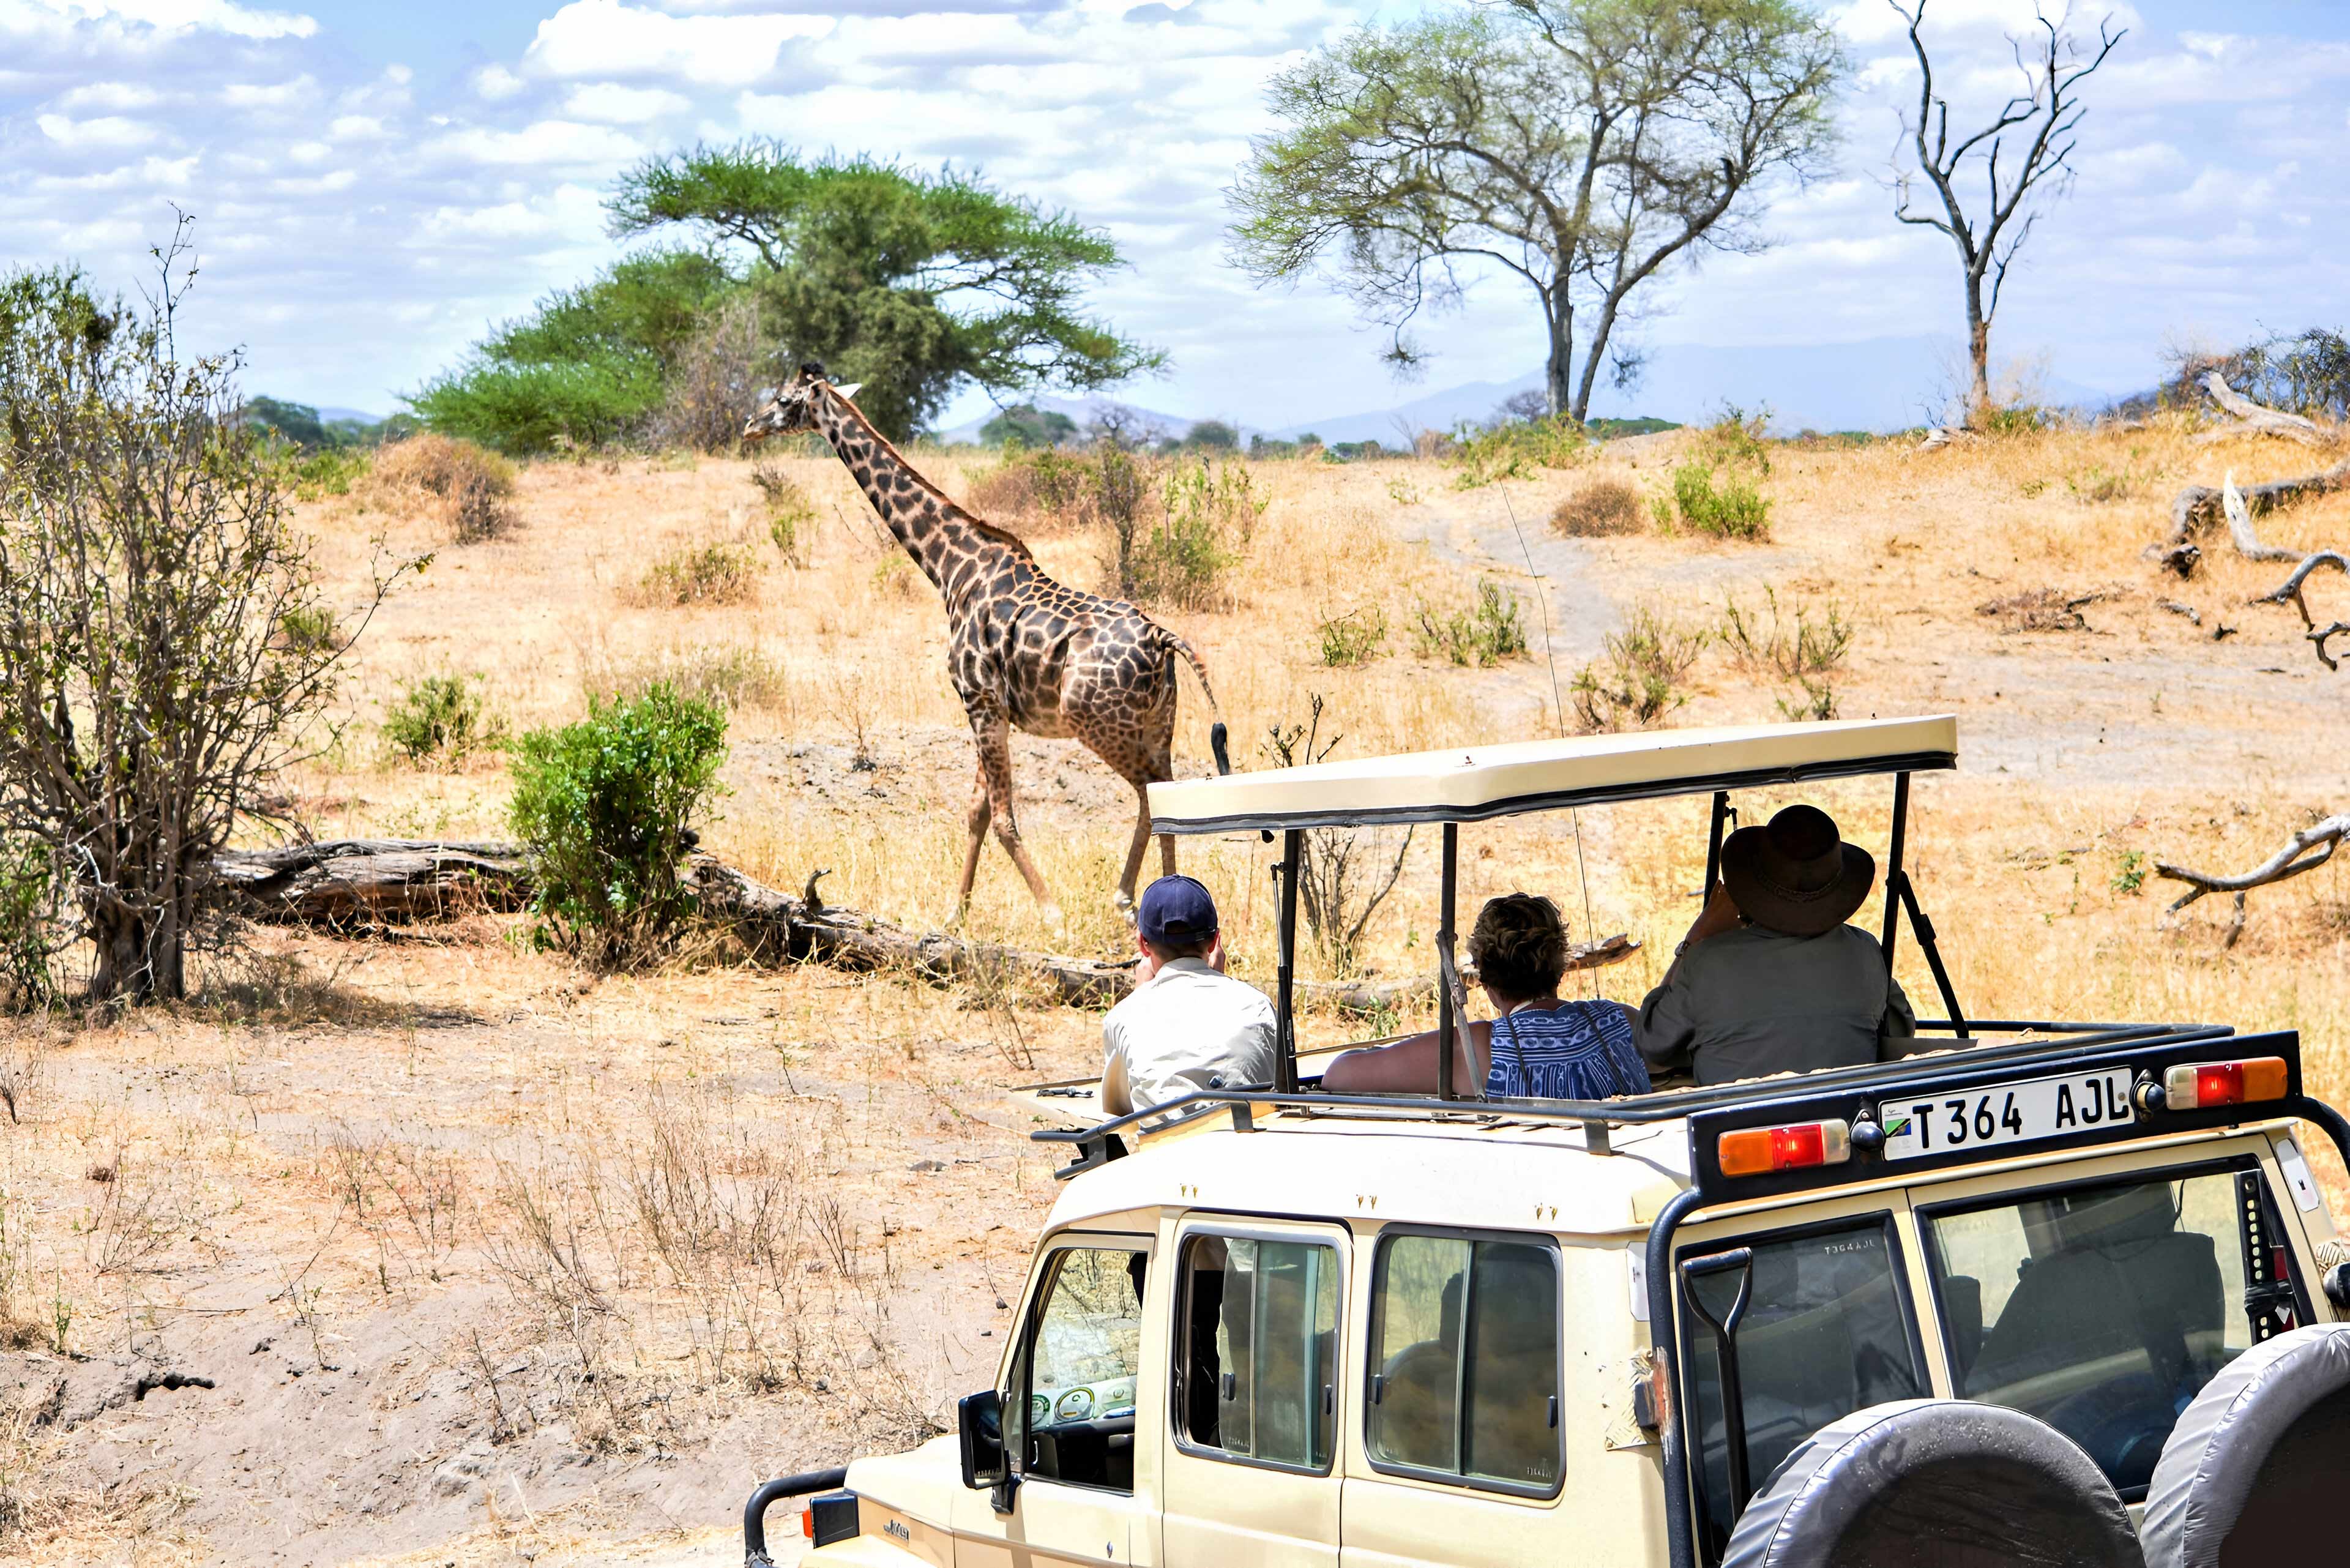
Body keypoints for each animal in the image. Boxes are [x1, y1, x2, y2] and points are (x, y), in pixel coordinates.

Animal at [743, 364, 1220, 921]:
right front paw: (958, 912)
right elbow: (976, 812)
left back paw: (1130, 897)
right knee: (1165, 797)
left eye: (783, 400)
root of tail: (1161, 638)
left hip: (1100, 725)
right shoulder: (987, 706)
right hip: (1158, 724)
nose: (751, 426)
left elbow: (1001, 817)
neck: (951, 569)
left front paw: (1050, 911)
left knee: (1152, 794)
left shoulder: (980, 701)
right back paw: (1153, 893)